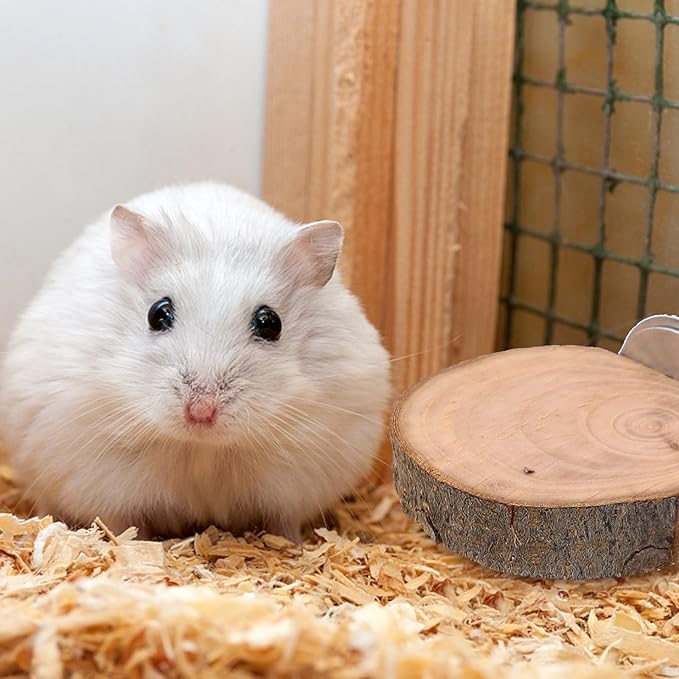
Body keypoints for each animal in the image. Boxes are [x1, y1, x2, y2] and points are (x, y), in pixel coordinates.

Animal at [0, 182, 390, 541]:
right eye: (158, 313)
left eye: (270, 323)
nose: (201, 412)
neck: (201, 447)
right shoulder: (98, 473)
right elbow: (121, 524)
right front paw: (135, 545)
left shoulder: (301, 475)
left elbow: (283, 523)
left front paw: (291, 546)